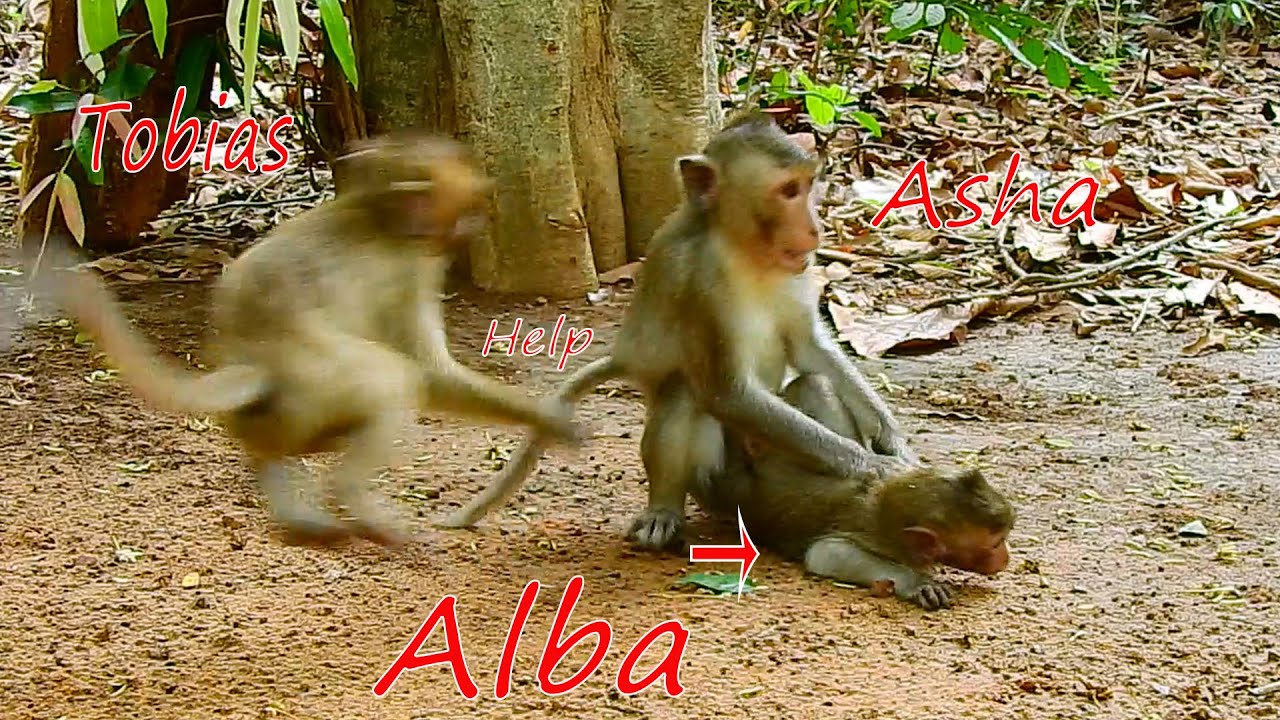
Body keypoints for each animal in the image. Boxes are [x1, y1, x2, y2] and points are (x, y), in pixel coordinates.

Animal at [46, 132, 585, 548]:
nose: (481, 213)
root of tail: (254, 358)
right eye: (467, 194)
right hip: (319, 373)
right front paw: (549, 418)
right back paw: (347, 496)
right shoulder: (415, 269)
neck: (380, 213)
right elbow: (432, 373)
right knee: (389, 377)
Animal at [437, 112, 919, 551]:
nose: (815, 228)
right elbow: (726, 392)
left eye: (808, 184)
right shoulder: (698, 282)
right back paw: (664, 510)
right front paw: (874, 467)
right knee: (683, 392)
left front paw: (894, 446)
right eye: (788, 191)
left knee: (815, 384)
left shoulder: (800, 270)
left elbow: (810, 349)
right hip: (715, 484)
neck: (742, 251)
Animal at [692, 372, 1015, 610]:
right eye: (995, 545)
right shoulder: (879, 538)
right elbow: (827, 554)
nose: (1005, 557)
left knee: (816, 384)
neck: (883, 504)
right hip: (729, 484)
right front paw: (916, 582)